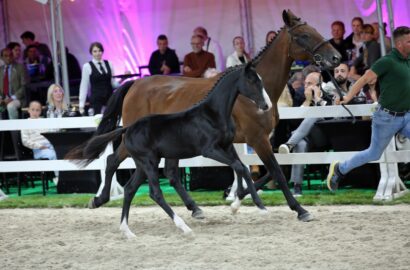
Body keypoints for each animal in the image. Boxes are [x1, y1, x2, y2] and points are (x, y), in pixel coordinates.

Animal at [79, 63, 272, 236]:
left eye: (261, 80)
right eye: (251, 81)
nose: (266, 105)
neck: (213, 113)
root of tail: (128, 128)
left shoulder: (227, 146)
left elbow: (242, 168)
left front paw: (246, 205)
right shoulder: (210, 150)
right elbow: (238, 167)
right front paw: (255, 206)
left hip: (142, 165)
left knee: (129, 189)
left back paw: (127, 230)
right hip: (149, 162)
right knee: (154, 192)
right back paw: (184, 227)